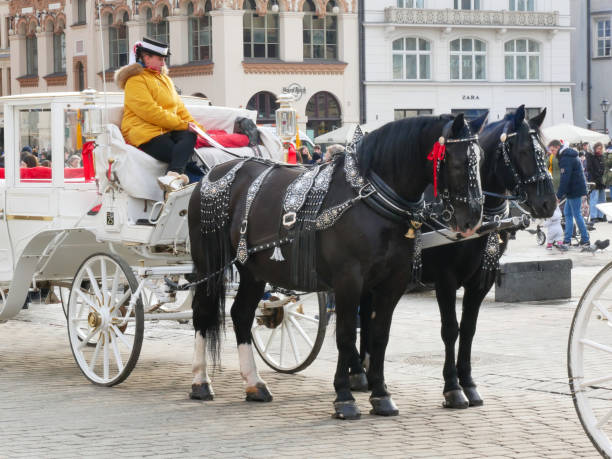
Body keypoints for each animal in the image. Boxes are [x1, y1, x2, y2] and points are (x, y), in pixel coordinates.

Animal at [188, 113, 488, 418]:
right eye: (458, 163)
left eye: (481, 160)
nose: (473, 219)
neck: (372, 199)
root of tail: (212, 174)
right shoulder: (349, 280)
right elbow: (345, 335)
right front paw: (344, 396)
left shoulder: (393, 282)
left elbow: (379, 336)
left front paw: (381, 395)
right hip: (209, 264)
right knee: (202, 311)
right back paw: (201, 381)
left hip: (252, 270)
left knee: (241, 314)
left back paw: (254, 384)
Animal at [358, 105, 556, 410]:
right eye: (522, 150)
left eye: (545, 151)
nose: (548, 203)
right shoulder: (446, 280)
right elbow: (450, 329)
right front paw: (452, 388)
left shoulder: (481, 281)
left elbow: (469, 329)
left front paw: (469, 384)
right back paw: (357, 373)